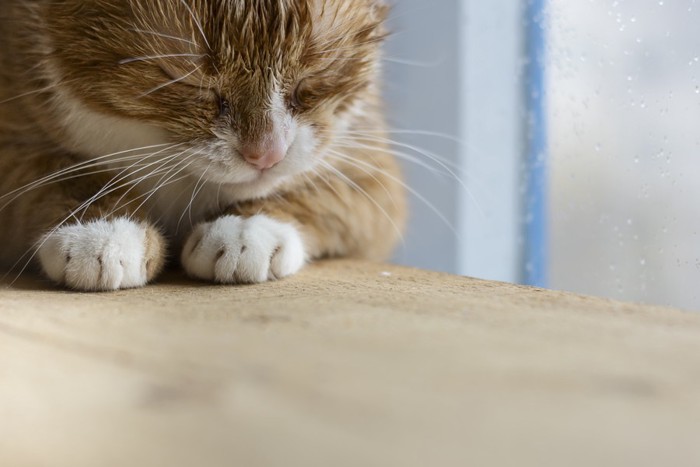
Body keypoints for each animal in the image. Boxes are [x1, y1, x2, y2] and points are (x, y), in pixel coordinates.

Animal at [0, 0, 404, 290]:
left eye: (318, 74)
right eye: (185, 80)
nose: (266, 153)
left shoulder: (371, 170)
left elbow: (323, 191)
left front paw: (246, 227)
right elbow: (59, 175)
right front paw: (101, 228)